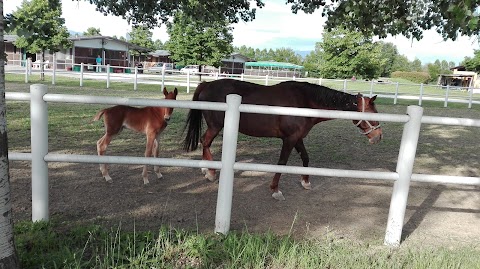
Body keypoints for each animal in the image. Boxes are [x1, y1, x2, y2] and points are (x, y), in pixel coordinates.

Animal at [184, 77, 382, 199]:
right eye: (372, 114)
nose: (378, 137)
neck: (304, 102)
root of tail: (207, 84)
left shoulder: (298, 138)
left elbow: (305, 157)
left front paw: (306, 182)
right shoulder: (289, 139)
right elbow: (281, 163)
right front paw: (275, 190)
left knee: (205, 142)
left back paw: (206, 169)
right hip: (215, 126)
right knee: (206, 141)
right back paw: (210, 172)